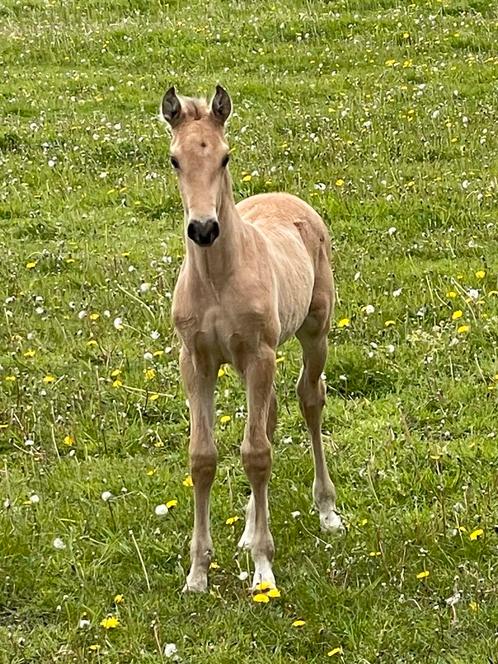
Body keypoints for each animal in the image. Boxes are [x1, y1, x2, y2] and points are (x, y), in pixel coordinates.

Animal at [161, 84, 344, 592]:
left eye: (225, 157)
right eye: (175, 160)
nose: (204, 229)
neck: (217, 279)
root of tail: (291, 198)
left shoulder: (260, 355)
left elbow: (257, 454)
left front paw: (264, 570)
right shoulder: (195, 361)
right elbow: (203, 457)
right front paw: (197, 574)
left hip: (313, 334)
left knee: (309, 399)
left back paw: (327, 511)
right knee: (272, 414)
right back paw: (246, 528)